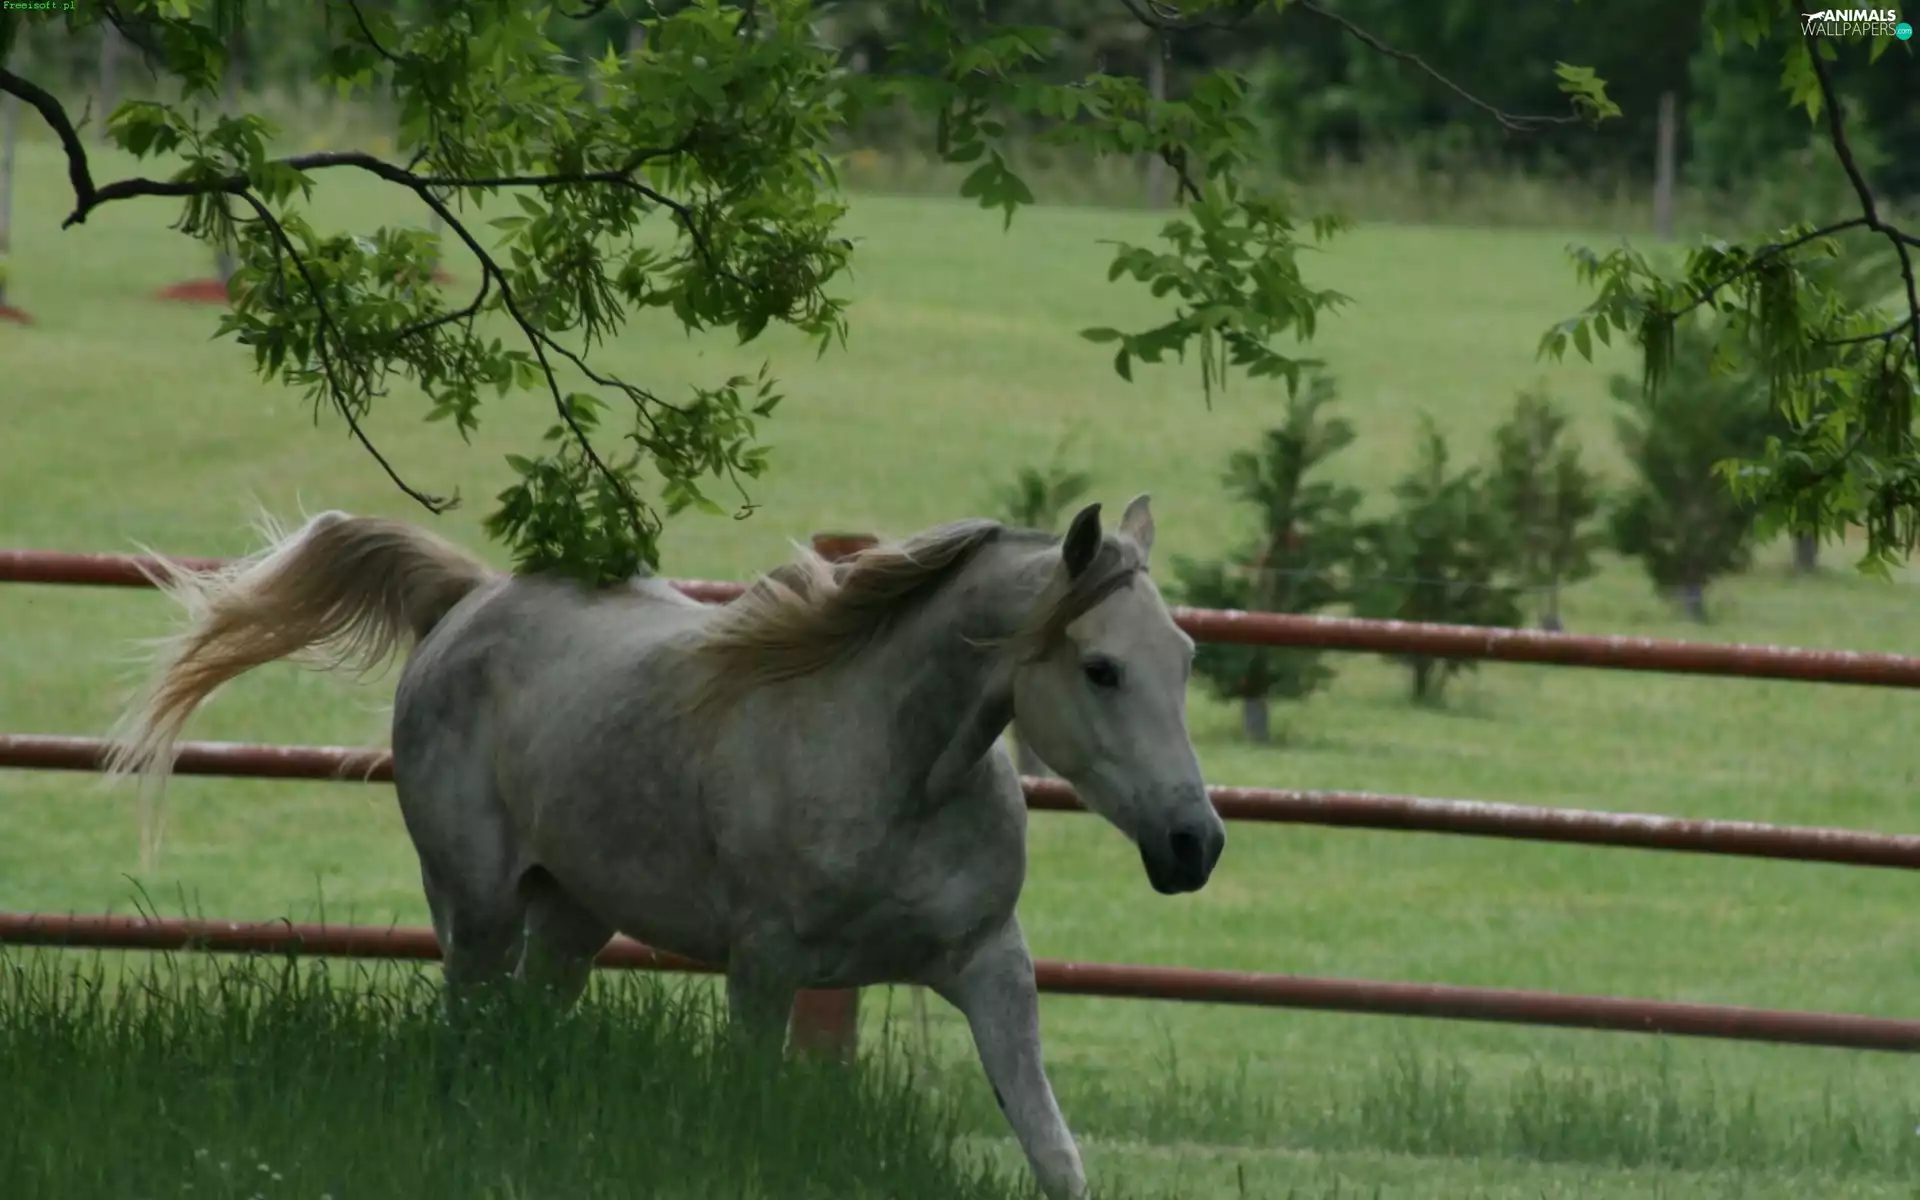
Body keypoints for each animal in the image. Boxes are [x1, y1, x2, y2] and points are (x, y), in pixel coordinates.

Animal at [105, 494, 1226, 1200]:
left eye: (1184, 656)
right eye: (1100, 667)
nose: (1195, 844)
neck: (893, 768)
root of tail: (469, 598)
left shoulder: (992, 964)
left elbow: (1054, 1152)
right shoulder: (766, 970)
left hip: (571, 920)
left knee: (523, 1038)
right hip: (476, 911)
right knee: (464, 1045)